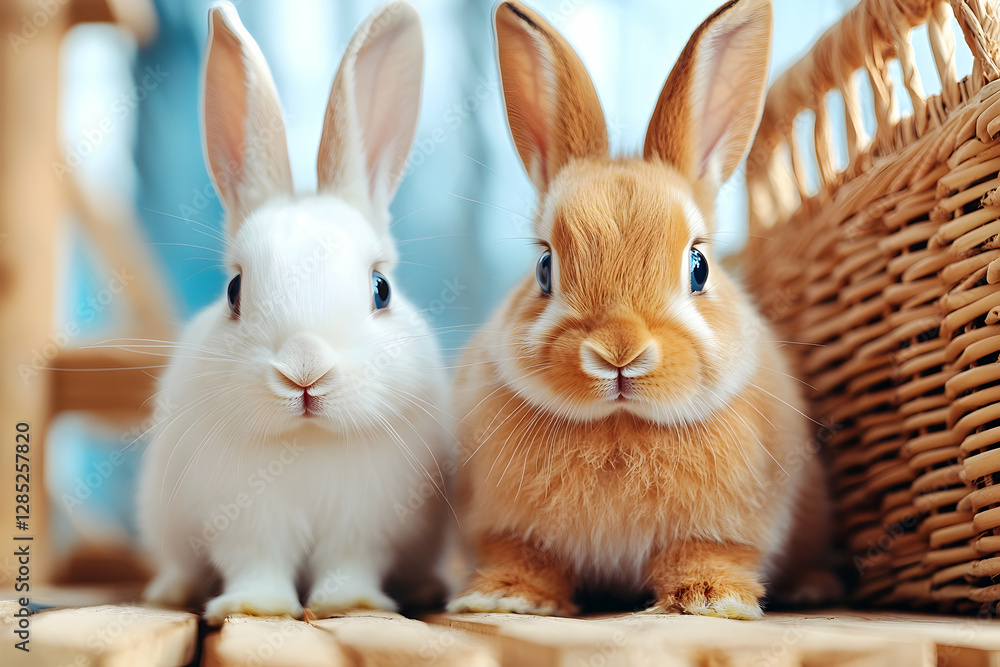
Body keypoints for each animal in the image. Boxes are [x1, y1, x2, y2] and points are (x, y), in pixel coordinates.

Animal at [137, 1, 453, 624]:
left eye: (381, 289)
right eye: (234, 290)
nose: (305, 372)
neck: (306, 443)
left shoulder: (366, 526)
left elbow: (350, 564)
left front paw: (350, 605)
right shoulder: (245, 523)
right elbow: (256, 563)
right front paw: (258, 608)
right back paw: (169, 592)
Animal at [447, 0, 835, 620]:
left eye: (699, 267)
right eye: (544, 268)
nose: (618, 353)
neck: (619, 425)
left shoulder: (721, 533)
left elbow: (707, 556)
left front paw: (710, 603)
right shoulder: (507, 532)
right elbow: (525, 556)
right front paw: (503, 599)